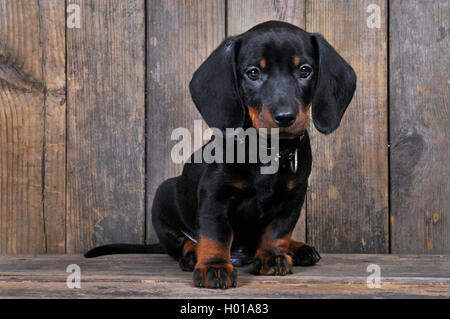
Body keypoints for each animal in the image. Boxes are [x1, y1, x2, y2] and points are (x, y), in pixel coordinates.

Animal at [86, 20, 356, 290]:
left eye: (305, 70)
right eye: (253, 73)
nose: (286, 117)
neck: (268, 151)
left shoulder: (293, 198)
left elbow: (277, 231)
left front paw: (272, 256)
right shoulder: (215, 195)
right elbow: (216, 234)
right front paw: (214, 267)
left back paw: (298, 248)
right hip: (163, 198)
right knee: (180, 242)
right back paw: (191, 254)